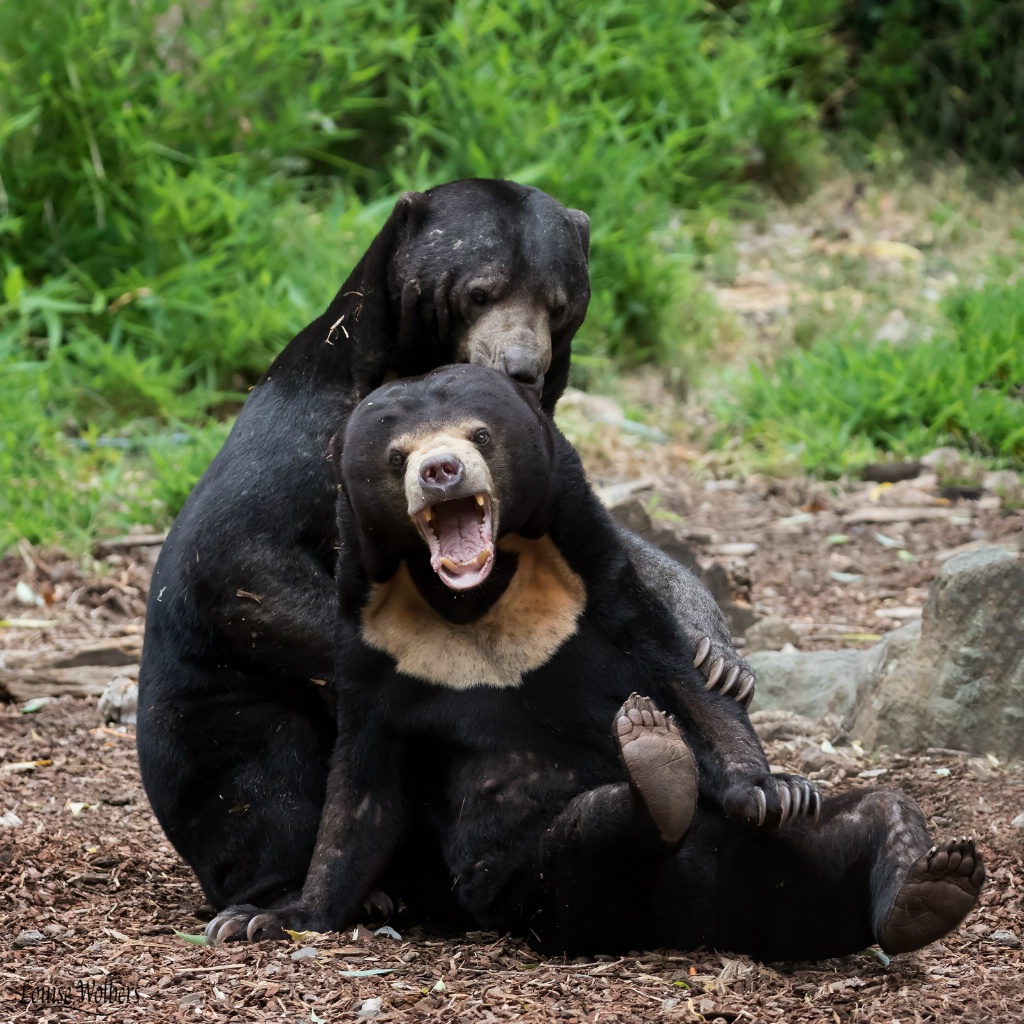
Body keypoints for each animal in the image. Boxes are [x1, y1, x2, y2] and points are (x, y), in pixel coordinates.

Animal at [138, 178, 753, 913]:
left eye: (558, 303)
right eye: (481, 293)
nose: (524, 369)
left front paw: (720, 659)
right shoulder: (312, 440)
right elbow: (239, 557)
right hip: (209, 722)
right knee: (263, 777)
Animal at [207, 368, 983, 958]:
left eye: (480, 436)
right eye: (397, 455)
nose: (441, 470)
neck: (475, 595)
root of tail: (691, 923)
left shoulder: (592, 569)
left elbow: (673, 667)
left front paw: (770, 786)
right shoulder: (370, 639)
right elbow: (361, 786)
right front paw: (269, 916)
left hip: (782, 867)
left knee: (879, 810)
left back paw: (932, 885)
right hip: (537, 888)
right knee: (602, 822)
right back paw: (657, 766)